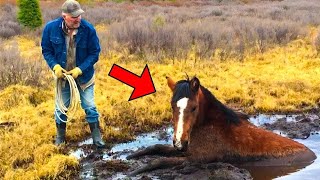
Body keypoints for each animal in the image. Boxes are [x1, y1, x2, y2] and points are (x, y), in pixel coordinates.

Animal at [128, 76, 318, 177]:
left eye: (194, 107)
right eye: (172, 106)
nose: (180, 142)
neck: (211, 126)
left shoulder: (196, 158)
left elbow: (160, 160)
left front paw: (136, 171)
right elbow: (156, 147)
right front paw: (133, 156)